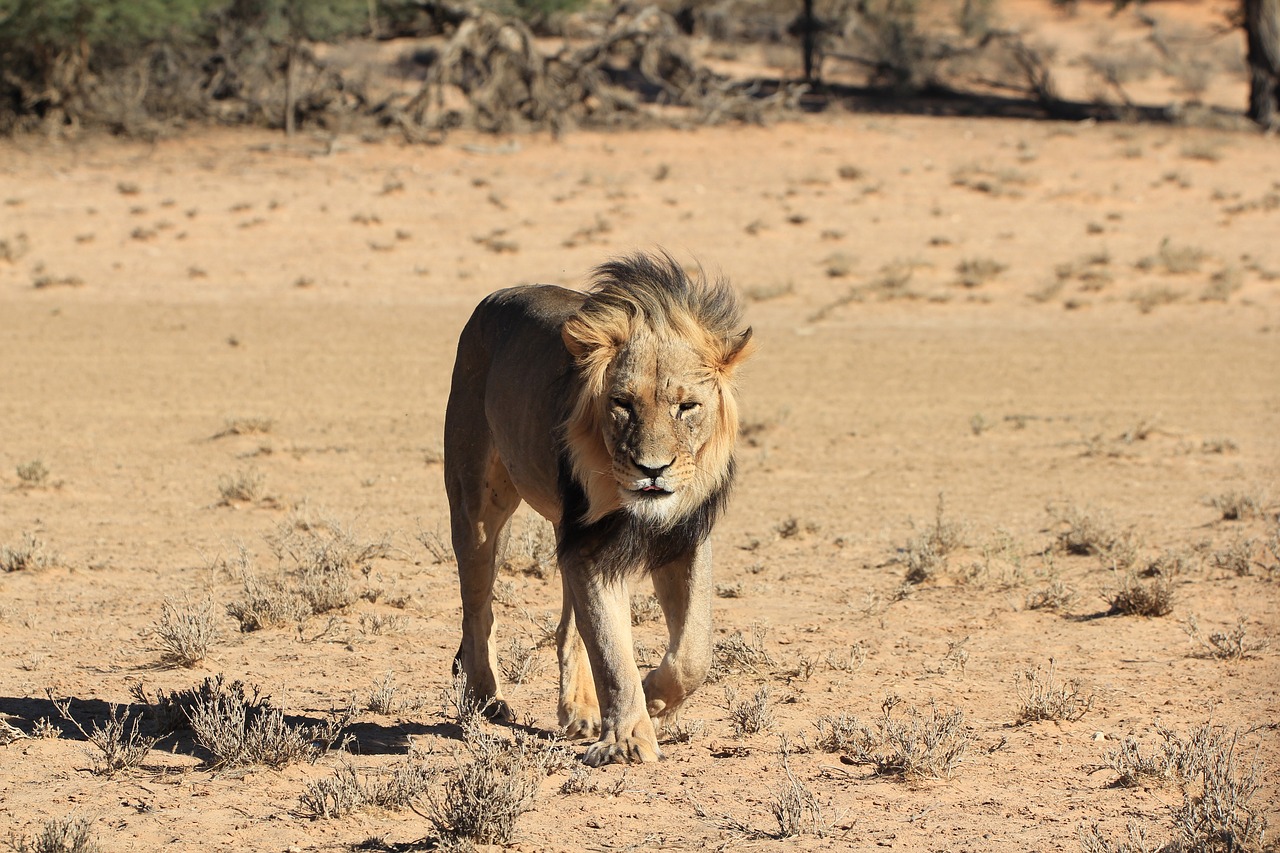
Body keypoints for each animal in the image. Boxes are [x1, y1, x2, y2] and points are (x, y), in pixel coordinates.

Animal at [448, 249, 752, 758]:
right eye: (622, 404)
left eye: (686, 406)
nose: (653, 469)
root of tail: (492, 299)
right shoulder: (589, 543)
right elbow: (611, 649)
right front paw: (628, 739)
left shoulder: (683, 536)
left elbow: (695, 651)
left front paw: (655, 701)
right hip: (477, 505)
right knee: (478, 608)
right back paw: (486, 698)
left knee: (568, 628)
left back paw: (581, 711)